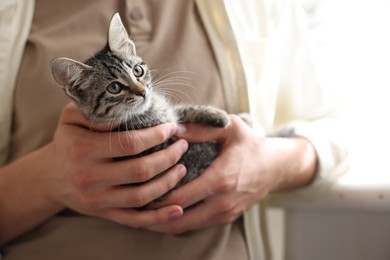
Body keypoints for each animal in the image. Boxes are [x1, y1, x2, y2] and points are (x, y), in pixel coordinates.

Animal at [50, 12, 230, 205]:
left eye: (138, 70)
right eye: (114, 88)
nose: (142, 91)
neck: (146, 112)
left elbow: (182, 111)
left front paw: (219, 115)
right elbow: (203, 152)